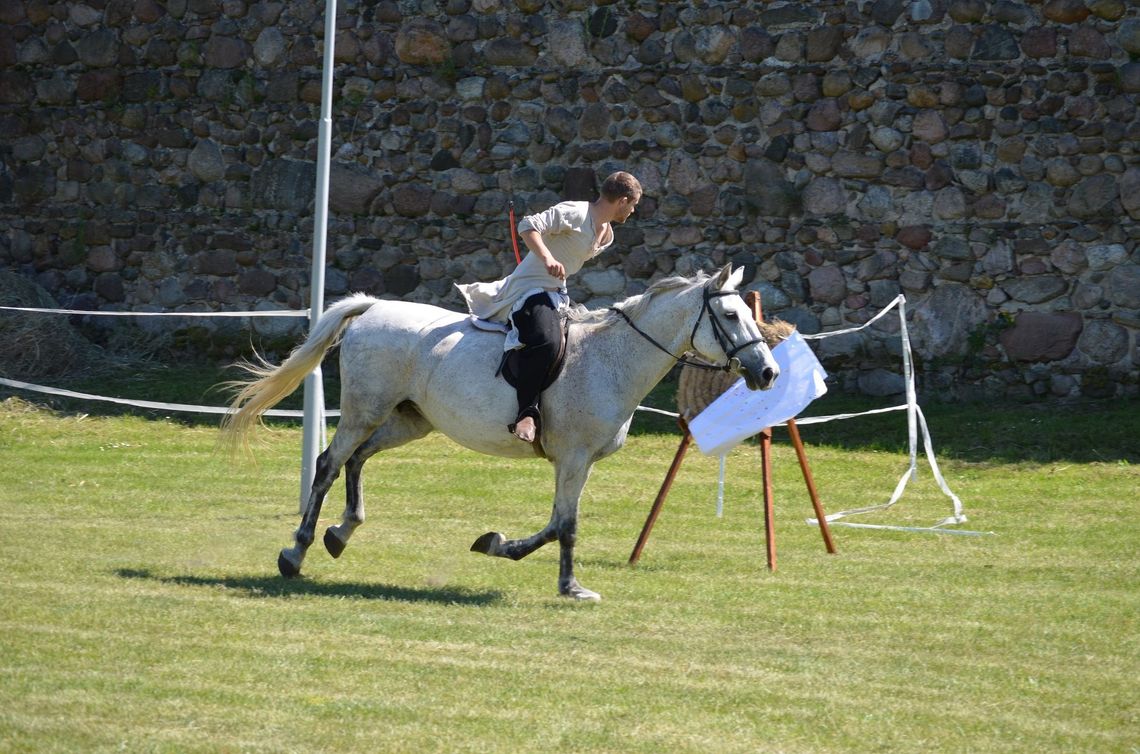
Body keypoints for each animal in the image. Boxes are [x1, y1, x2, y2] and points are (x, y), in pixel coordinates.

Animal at [222, 264, 779, 597]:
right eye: (731, 315)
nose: (768, 372)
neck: (611, 358)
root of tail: (374, 306)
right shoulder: (573, 459)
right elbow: (566, 526)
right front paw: (568, 587)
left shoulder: (578, 463)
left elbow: (555, 524)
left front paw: (496, 544)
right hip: (365, 410)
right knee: (328, 464)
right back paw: (295, 553)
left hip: (409, 420)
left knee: (357, 461)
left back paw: (340, 533)